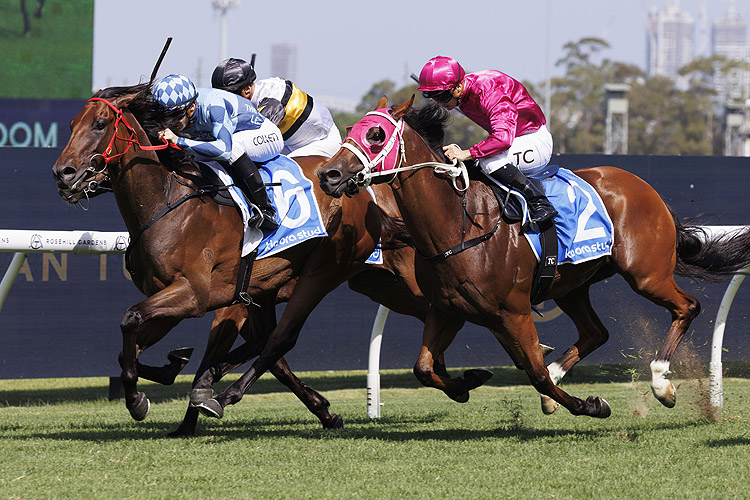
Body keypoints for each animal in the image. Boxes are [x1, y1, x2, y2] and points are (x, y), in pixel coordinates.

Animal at [51, 83, 434, 434]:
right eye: (71, 124)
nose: (63, 173)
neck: (167, 203)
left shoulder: (194, 295)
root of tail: (364, 196)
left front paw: (140, 401)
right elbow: (129, 345)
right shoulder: (174, 298)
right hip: (362, 286)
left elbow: (131, 319)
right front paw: (174, 374)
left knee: (282, 338)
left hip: (324, 274)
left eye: (100, 124)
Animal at [314, 97, 750, 418]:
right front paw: (467, 384)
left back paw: (662, 383)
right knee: (595, 333)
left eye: (375, 134)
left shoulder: (514, 311)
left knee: (686, 307)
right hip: (571, 285)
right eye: (350, 131)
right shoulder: (448, 309)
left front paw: (592, 405)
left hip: (646, 274)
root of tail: (644, 187)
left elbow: (535, 373)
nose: (328, 175)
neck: (458, 225)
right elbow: (423, 368)